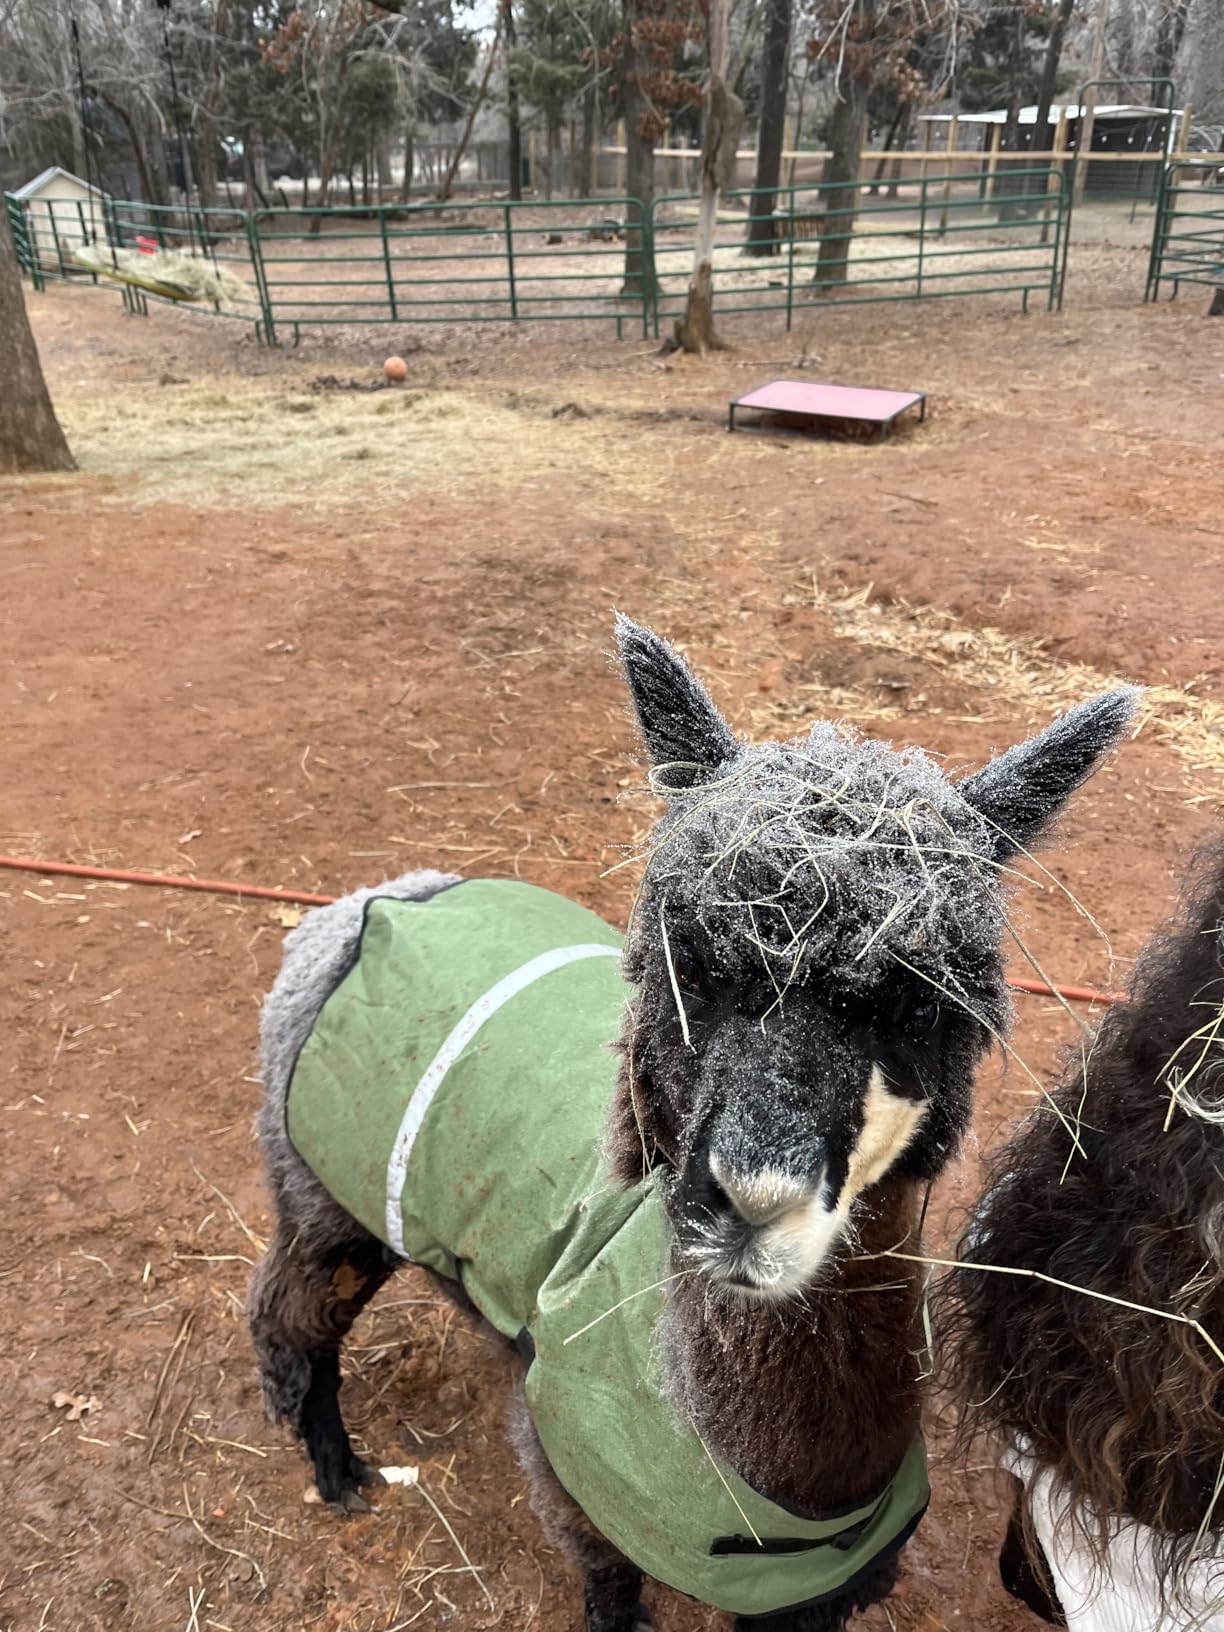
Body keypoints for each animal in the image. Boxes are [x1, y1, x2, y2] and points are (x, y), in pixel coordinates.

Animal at [247, 615, 1136, 1630]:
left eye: (924, 1009)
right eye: (691, 969)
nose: (747, 1202)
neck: (775, 1504)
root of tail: (384, 900)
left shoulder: (817, 1592)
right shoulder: (574, 1484)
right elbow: (606, 1584)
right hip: (322, 1185)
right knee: (288, 1314)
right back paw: (336, 1467)